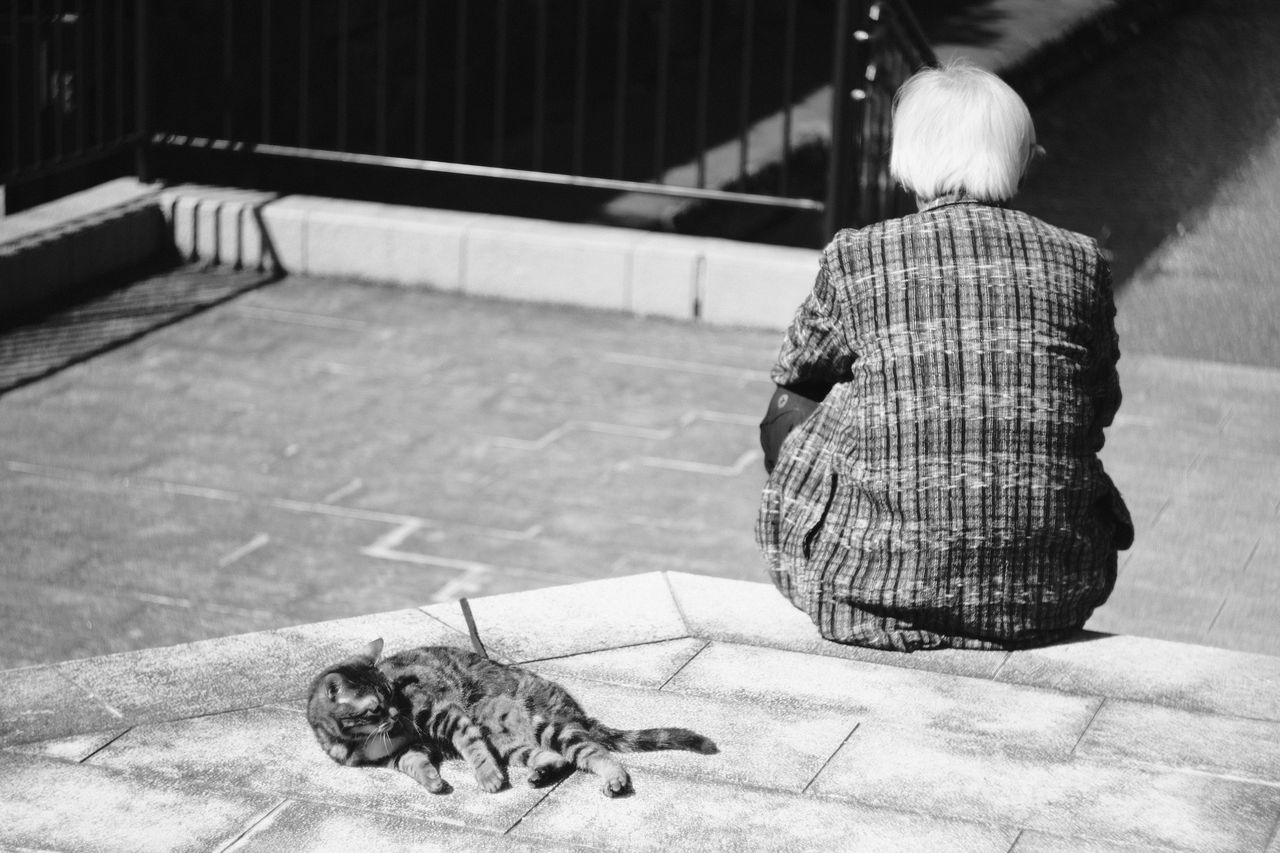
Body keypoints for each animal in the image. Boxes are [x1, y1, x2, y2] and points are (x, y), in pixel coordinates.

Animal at [304, 637, 716, 799]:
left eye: (393, 693)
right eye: (377, 705)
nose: (396, 713)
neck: (361, 738)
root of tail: (572, 706)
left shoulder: (444, 714)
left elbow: (470, 746)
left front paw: (486, 778)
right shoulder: (399, 753)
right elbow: (414, 764)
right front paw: (433, 781)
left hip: (527, 719)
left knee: (592, 752)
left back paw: (614, 779)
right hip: (505, 736)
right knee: (556, 757)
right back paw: (541, 771)